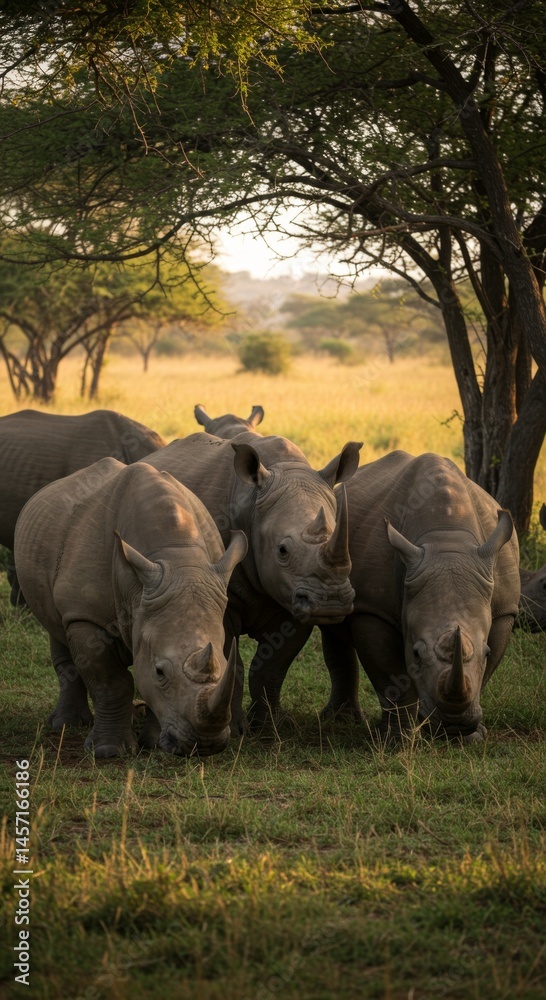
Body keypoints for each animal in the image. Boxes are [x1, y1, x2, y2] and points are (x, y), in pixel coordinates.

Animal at [14, 458, 247, 757]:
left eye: (224, 664)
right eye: (160, 672)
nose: (204, 745)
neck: (176, 554)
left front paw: (153, 743)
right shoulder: (86, 616)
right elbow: (112, 682)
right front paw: (109, 751)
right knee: (56, 628)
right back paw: (67, 725)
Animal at [313, 451, 521, 742]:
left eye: (486, 652)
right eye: (416, 653)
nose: (453, 724)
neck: (446, 538)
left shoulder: (504, 609)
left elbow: (487, 669)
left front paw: (471, 737)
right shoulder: (373, 607)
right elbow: (389, 672)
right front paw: (398, 737)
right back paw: (342, 720)